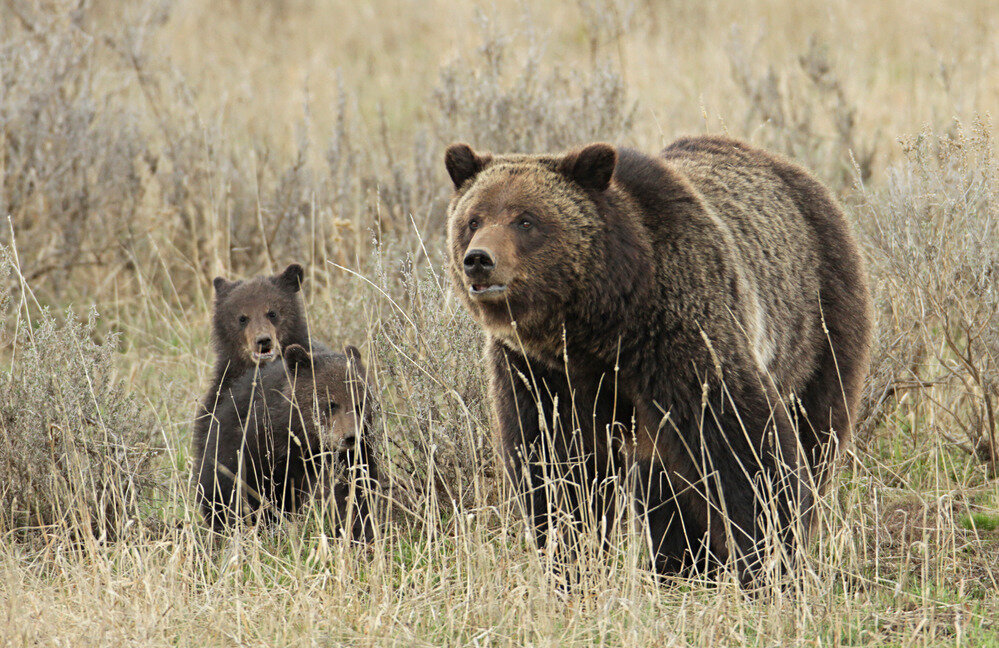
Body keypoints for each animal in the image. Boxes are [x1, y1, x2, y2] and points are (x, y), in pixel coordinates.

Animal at [194, 342, 379, 539]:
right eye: (331, 404)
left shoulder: (355, 458)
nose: (351, 437)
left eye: (360, 403)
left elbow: (357, 492)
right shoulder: (262, 448)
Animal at [444, 135, 872, 585]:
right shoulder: (538, 371)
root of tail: (786, 167)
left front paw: (772, 560)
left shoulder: (679, 335)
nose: (479, 259)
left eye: (526, 220)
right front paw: (571, 561)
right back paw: (680, 563)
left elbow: (743, 444)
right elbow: (555, 463)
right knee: (663, 484)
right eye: (473, 219)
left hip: (817, 321)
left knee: (817, 428)